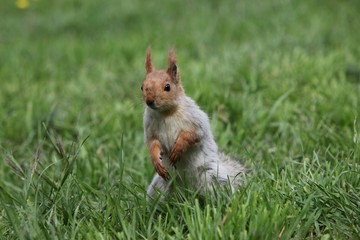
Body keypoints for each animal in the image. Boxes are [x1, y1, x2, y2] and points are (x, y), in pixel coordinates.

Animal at [142, 48, 246, 201]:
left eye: (167, 87)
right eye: (142, 86)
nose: (149, 101)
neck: (166, 113)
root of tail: (190, 189)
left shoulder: (196, 120)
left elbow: (193, 134)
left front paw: (178, 148)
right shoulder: (149, 127)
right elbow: (152, 143)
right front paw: (156, 161)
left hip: (215, 179)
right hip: (160, 187)